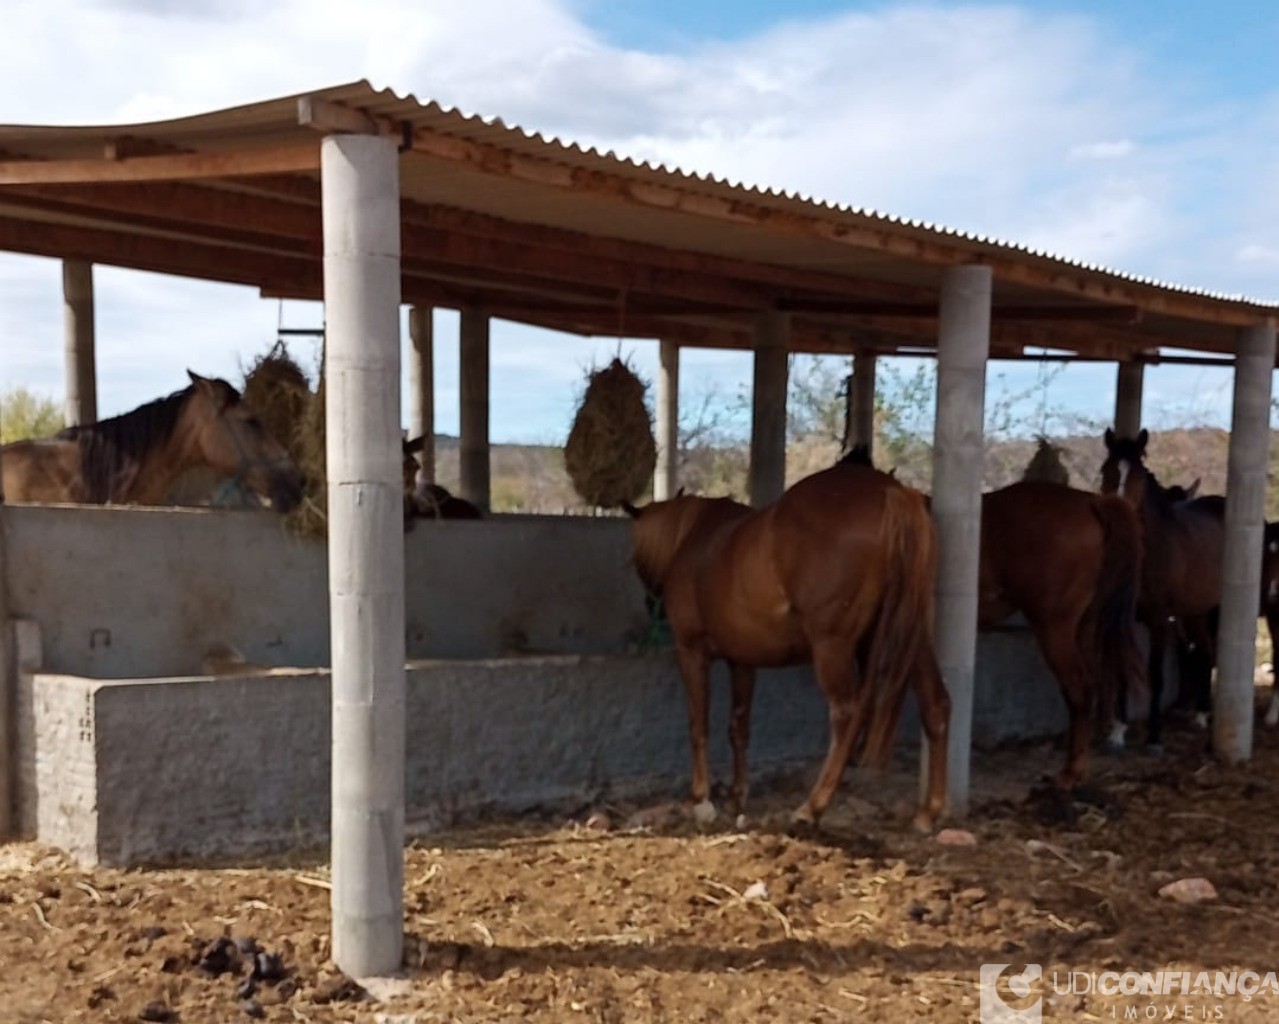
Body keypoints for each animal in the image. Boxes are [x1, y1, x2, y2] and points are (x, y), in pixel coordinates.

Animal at [624, 460, 946, 828]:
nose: (651, 606)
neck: (692, 538)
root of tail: (891, 492)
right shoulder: (742, 661)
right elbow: (738, 727)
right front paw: (736, 796)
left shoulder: (691, 651)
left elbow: (698, 723)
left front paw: (699, 796)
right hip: (913, 641)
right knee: (936, 704)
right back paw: (930, 811)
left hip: (832, 647)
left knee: (847, 714)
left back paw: (813, 805)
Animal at [1094, 426, 1222, 746]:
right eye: (1105, 469)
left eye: (1140, 475)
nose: (1119, 512)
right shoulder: (1127, 620)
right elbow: (1124, 670)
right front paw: (1118, 731)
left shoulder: (1160, 620)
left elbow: (1156, 674)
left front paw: (1153, 736)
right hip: (1195, 611)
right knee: (1205, 651)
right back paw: (1200, 715)